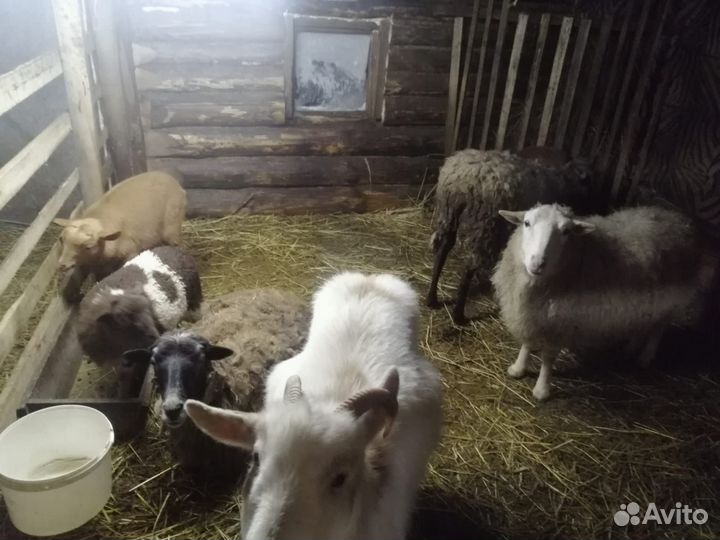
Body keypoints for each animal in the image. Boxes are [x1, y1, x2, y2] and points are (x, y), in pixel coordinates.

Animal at [53, 170, 186, 280]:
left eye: (88, 247)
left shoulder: (131, 251)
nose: (62, 265)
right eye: (61, 239)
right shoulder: (99, 265)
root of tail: (172, 180)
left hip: (172, 223)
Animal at [426, 148, 593, 324]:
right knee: (468, 268)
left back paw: (432, 299)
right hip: (486, 226)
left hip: (449, 214)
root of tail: (464, 180)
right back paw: (458, 315)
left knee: (442, 251)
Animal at [491, 203, 718, 401]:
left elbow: (548, 358)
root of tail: (678, 218)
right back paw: (631, 347)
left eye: (566, 231)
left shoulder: (561, 321)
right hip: (646, 301)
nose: (538, 263)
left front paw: (541, 390)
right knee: (645, 322)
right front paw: (518, 368)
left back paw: (645, 357)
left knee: (658, 328)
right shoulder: (529, 312)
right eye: (526, 223)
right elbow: (527, 343)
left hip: (670, 297)